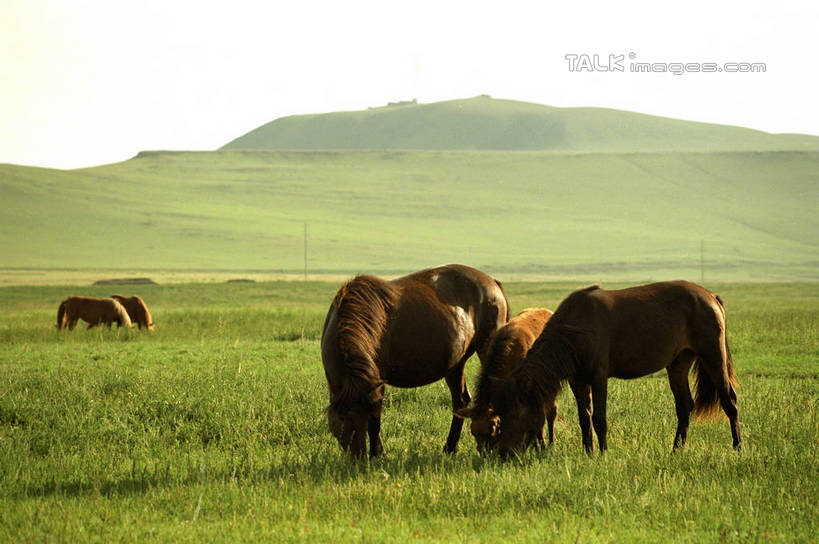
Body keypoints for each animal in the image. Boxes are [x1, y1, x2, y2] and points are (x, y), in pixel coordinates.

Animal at [322, 264, 510, 460]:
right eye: (342, 420)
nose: (358, 457)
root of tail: (493, 282)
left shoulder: (376, 383)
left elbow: (376, 421)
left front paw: (377, 455)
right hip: (456, 364)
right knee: (460, 400)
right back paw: (450, 447)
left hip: (486, 350)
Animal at [490, 280, 740, 460]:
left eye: (513, 414)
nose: (502, 453)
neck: (575, 329)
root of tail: (711, 296)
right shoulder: (578, 381)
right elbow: (584, 418)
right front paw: (588, 452)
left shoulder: (599, 377)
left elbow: (599, 417)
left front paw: (602, 453)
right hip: (678, 362)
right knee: (684, 406)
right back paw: (676, 450)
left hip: (712, 356)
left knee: (729, 401)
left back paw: (738, 447)